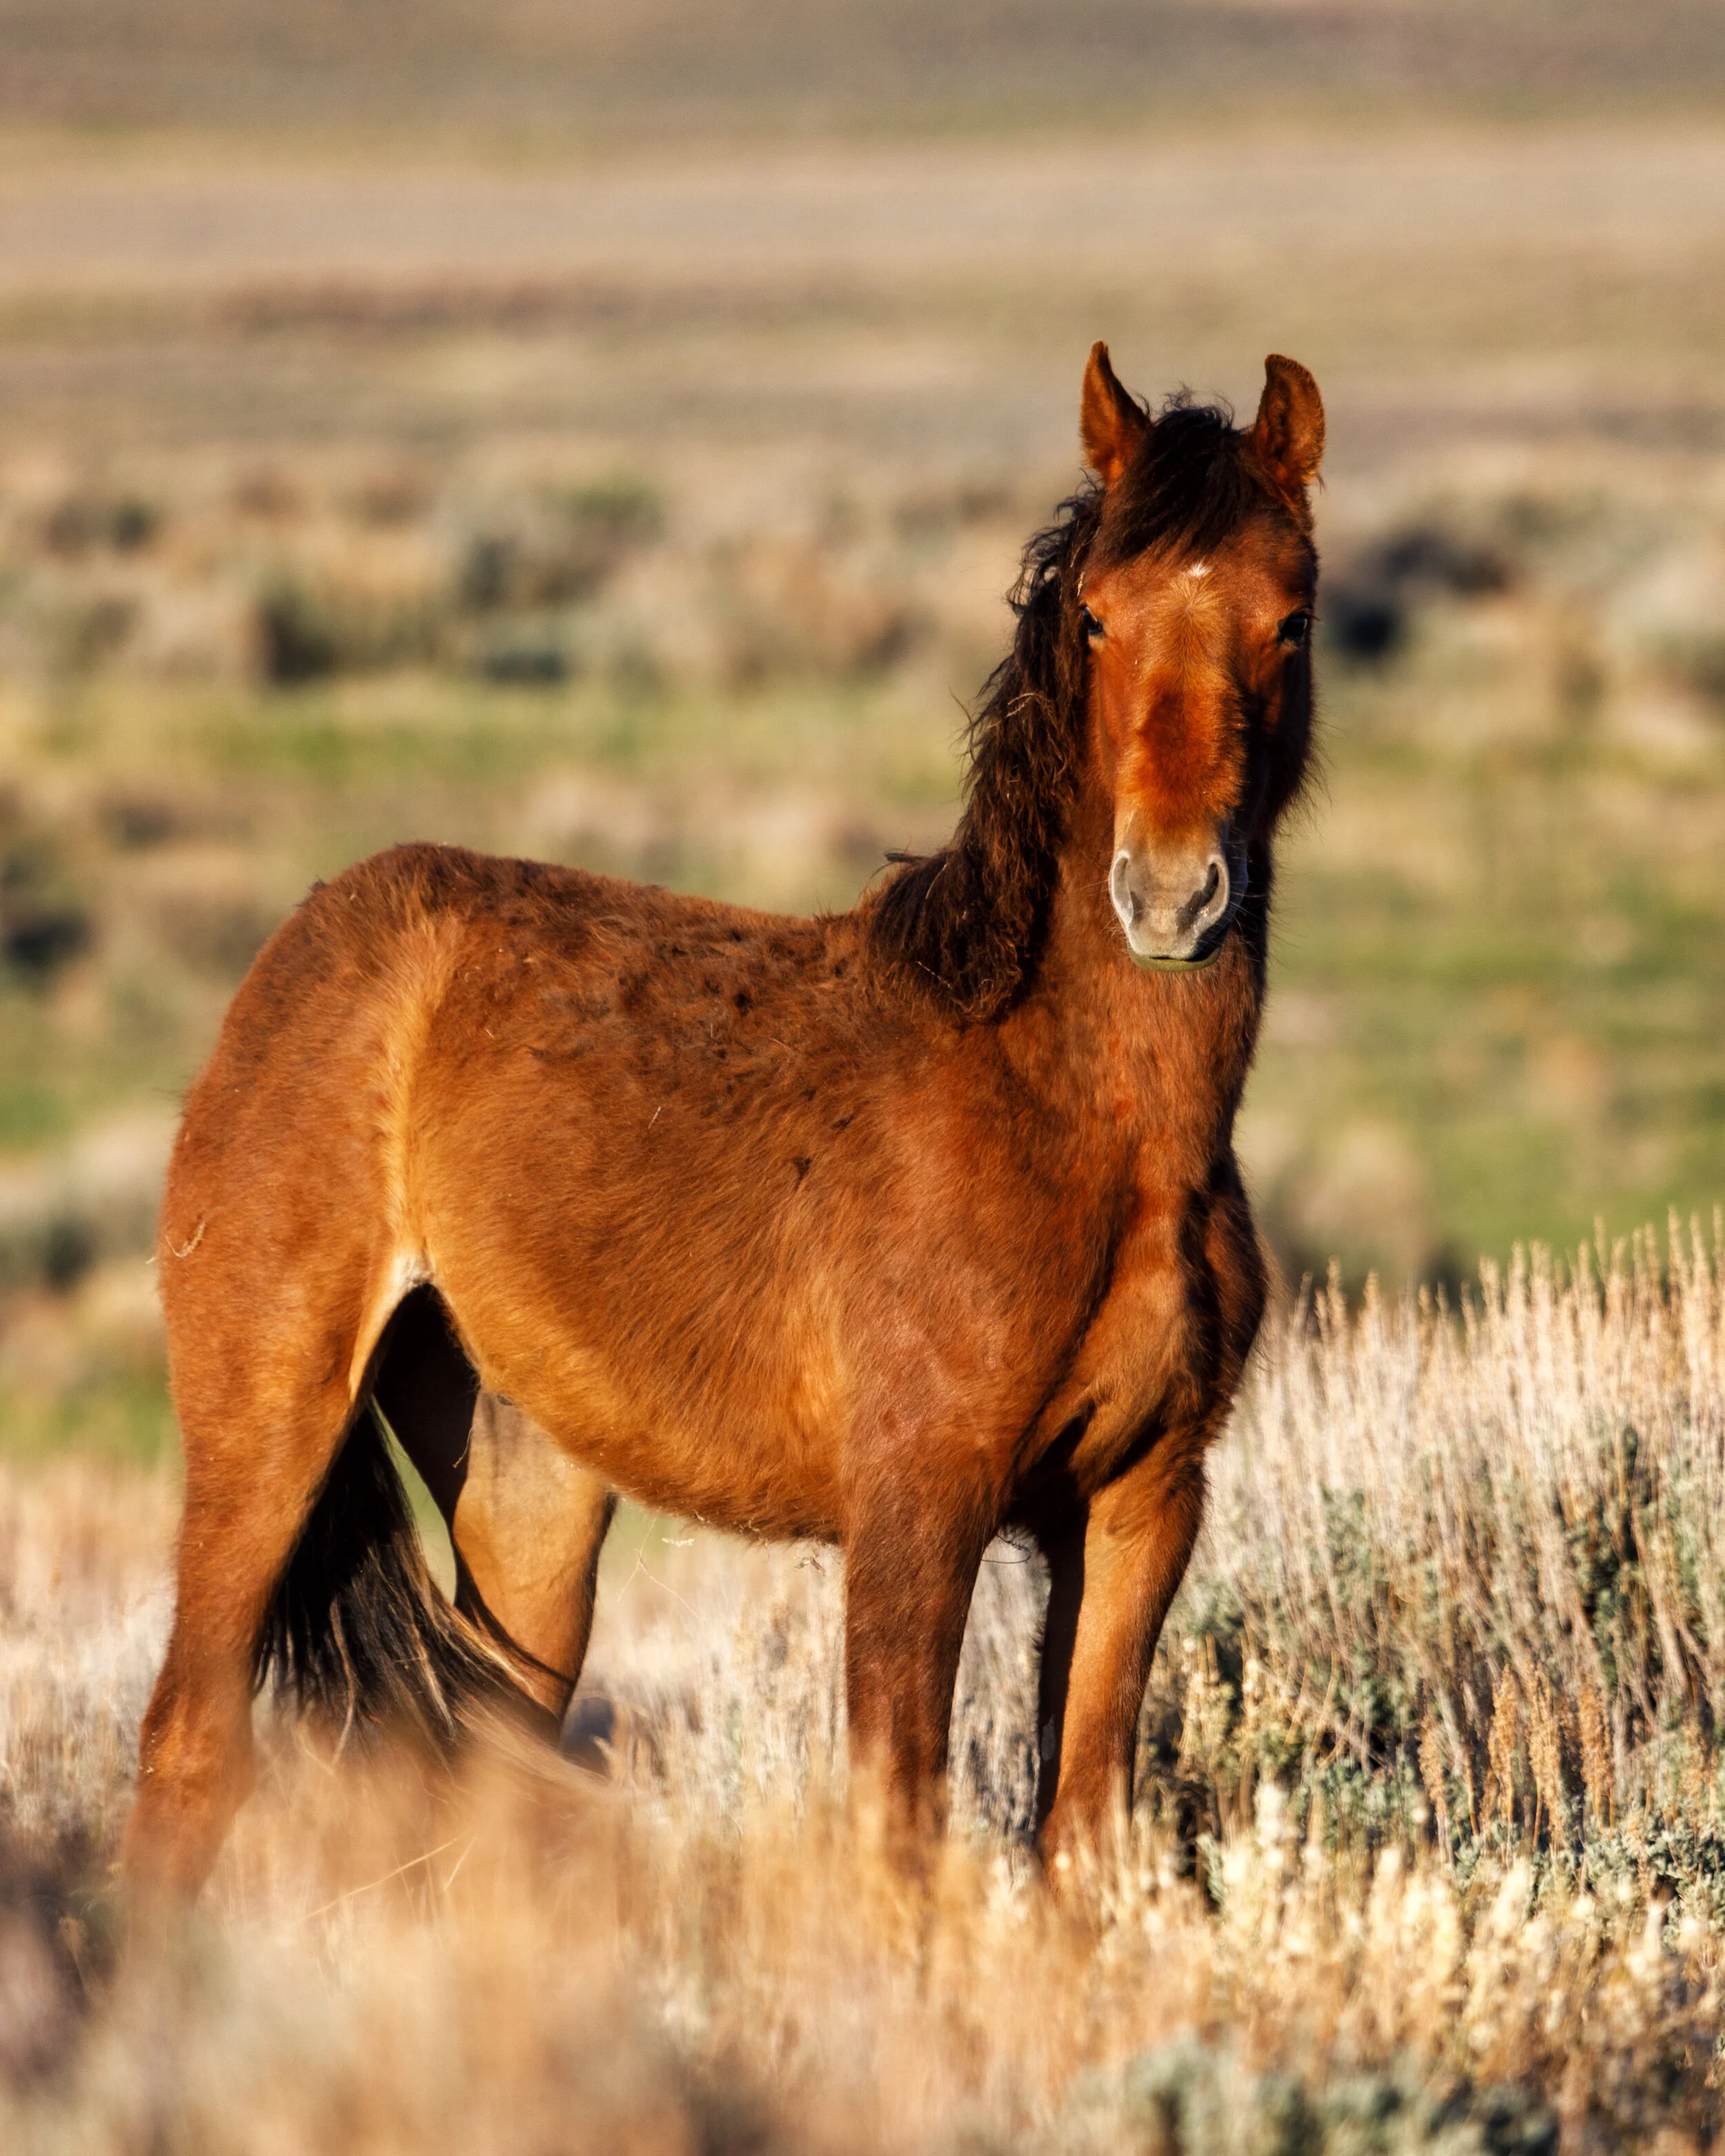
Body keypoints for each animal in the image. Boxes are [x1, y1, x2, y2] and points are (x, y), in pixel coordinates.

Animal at [123, 344, 1323, 1903]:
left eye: (1289, 619)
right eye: (1100, 615)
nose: (1171, 894)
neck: (1071, 1120)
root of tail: (302, 941)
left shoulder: (1137, 1505)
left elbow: (1078, 1837)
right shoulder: (916, 1509)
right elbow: (898, 1822)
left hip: (528, 1505)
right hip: (270, 1425)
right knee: (191, 1750)